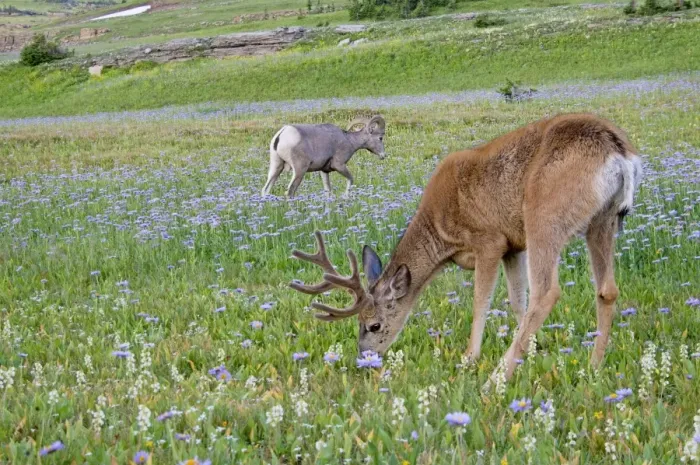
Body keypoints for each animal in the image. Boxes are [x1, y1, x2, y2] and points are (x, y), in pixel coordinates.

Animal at [289, 113, 642, 386]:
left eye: (373, 324)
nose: (365, 358)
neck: (441, 236)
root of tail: (619, 153)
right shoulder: (513, 246)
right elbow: (517, 301)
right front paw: (533, 351)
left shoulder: (490, 241)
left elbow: (481, 302)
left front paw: (470, 358)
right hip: (602, 219)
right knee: (606, 289)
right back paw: (593, 366)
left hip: (544, 214)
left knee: (547, 292)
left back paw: (495, 380)